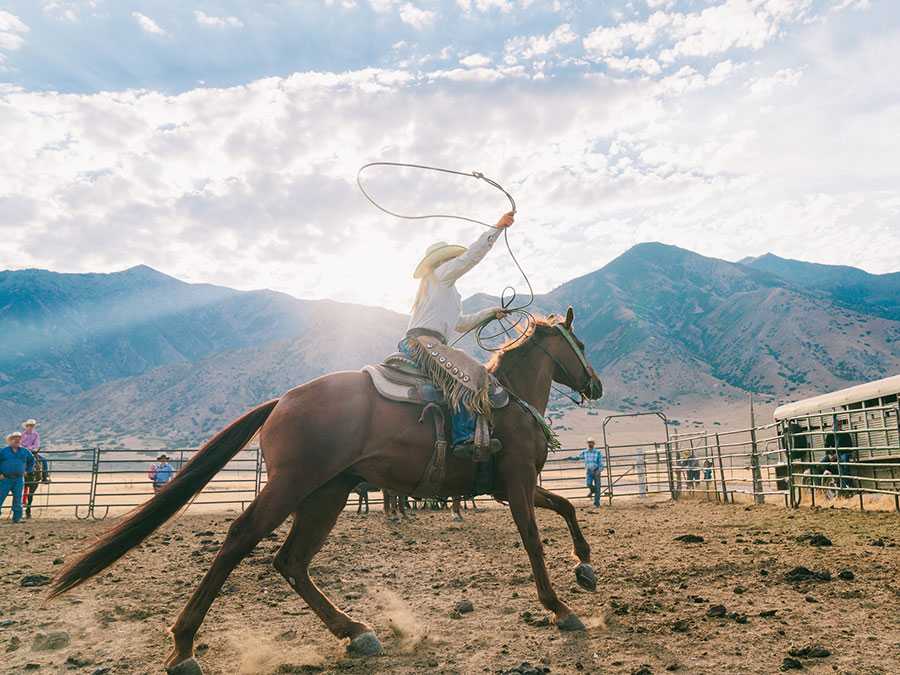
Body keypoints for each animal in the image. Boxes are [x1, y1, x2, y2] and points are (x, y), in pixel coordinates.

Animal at [49, 307, 603, 674]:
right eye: (581, 345)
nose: (595, 385)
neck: (508, 403)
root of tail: (281, 400)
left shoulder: (514, 488)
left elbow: (567, 506)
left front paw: (585, 567)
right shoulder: (517, 483)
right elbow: (534, 541)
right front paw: (561, 609)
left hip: (326, 494)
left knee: (291, 560)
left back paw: (355, 632)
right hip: (293, 485)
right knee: (241, 538)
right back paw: (184, 647)